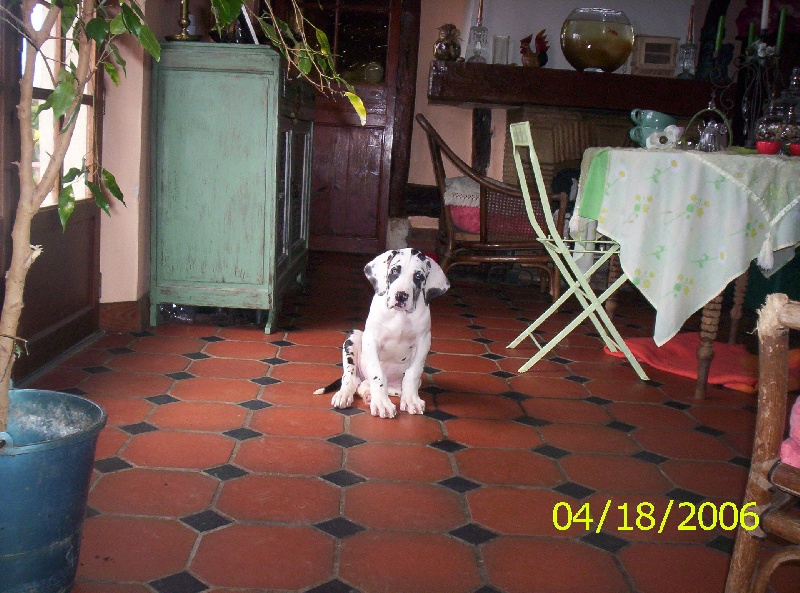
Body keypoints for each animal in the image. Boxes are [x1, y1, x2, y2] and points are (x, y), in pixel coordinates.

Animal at [314, 248, 449, 418]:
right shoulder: (371, 341)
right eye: (394, 271)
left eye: (418, 276)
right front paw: (381, 404)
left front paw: (411, 400)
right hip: (354, 338)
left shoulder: (424, 342)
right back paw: (344, 394)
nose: (401, 295)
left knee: (370, 385)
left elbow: (413, 373)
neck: (400, 316)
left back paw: (370, 394)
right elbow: (377, 374)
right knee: (350, 378)